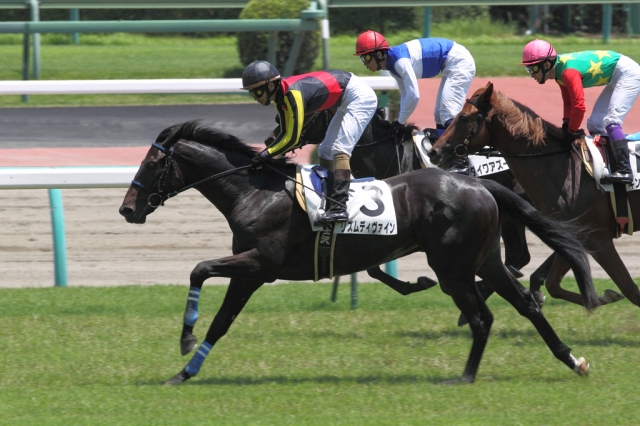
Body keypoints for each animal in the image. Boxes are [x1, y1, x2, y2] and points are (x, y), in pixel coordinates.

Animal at [119, 120, 596, 385]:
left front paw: (185, 338)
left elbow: (199, 269)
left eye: (151, 164)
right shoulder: (250, 273)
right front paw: (184, 372)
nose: (127, 208)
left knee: (482, 317)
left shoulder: (261, 264)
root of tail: (479, 184)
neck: (255, 192)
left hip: (454, 268)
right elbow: (221, 322)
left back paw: (463, 377)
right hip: (484, 261)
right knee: (526, 304)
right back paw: (572, 360)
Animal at [427, 82, 635, 308]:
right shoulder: (574, 233)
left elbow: (630, 289)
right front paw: (602, 297)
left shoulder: (598, 238)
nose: (433, 151)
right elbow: (555, 284)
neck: (561, 167)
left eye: (464, 117)